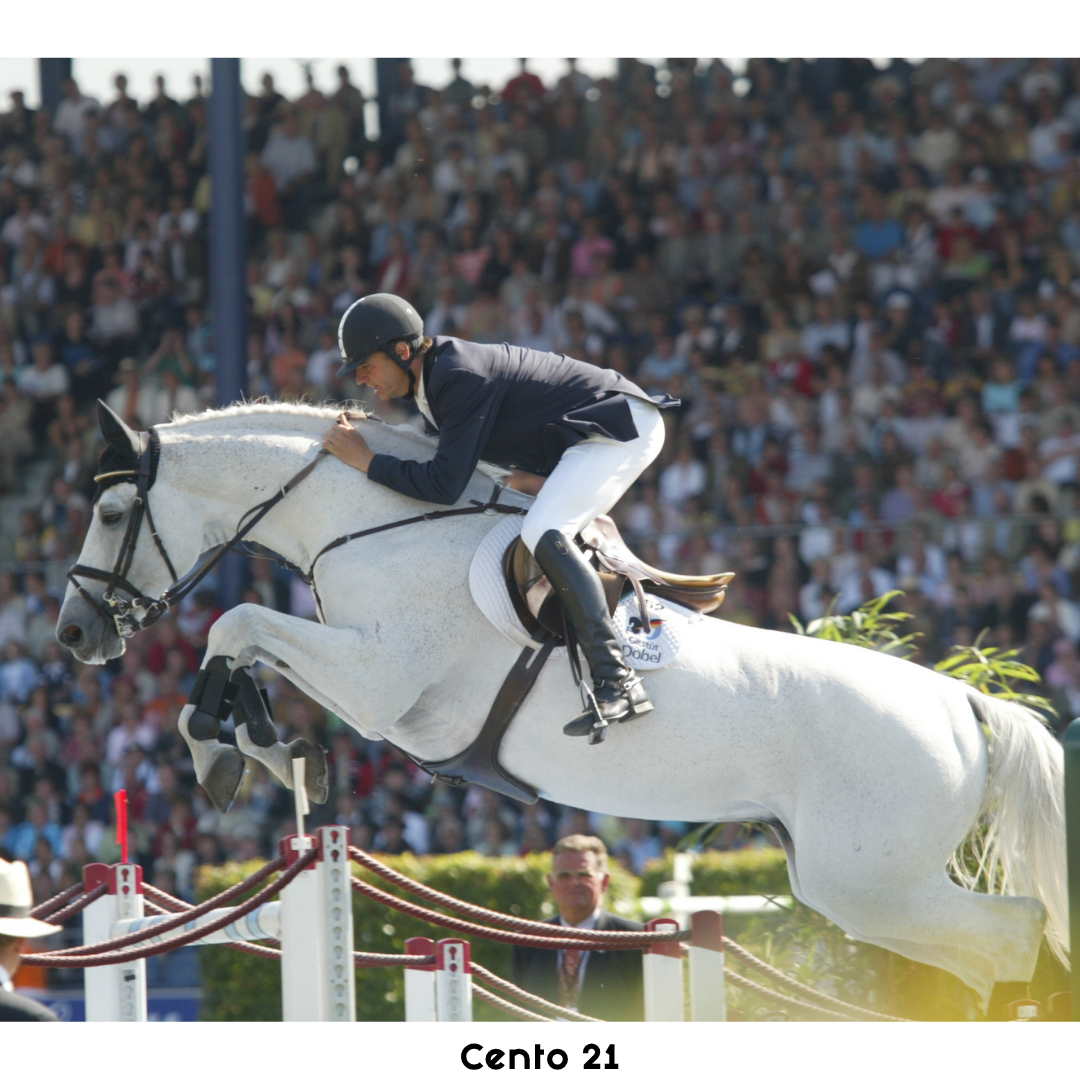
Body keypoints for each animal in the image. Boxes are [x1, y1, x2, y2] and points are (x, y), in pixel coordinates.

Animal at [57, 401, 1068, 1009]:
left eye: (109, 516)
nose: (72, 635)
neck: (371, 520)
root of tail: (964, 702)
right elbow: (240, 644)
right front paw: (262, 747)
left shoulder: (382, 685)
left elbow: (233, 621)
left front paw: (223, 748)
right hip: (869, 888)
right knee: (983, 949)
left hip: (866, 879)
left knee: (1013, 932)